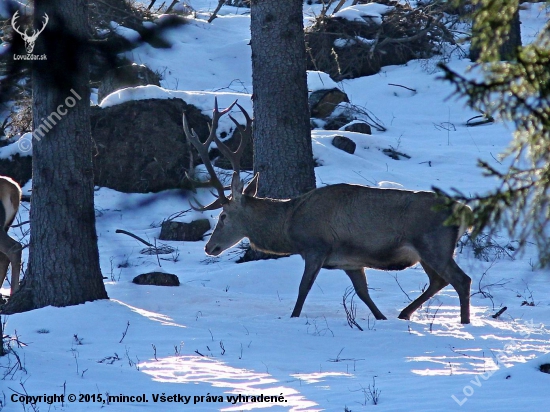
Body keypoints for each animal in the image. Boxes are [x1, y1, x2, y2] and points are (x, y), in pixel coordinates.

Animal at [184, 100, 474, 326]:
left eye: (223, 216)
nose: (209, 247)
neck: (289, 225)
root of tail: (465, 210)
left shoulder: (316, 246)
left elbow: (303, 289)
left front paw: (293, 318)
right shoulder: (351, 262)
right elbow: (363, 293)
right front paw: (381, 318)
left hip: (432, 243)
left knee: (461, 279)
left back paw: (464, 323)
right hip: (427, 250)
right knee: (438, 280)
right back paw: (404, 314)